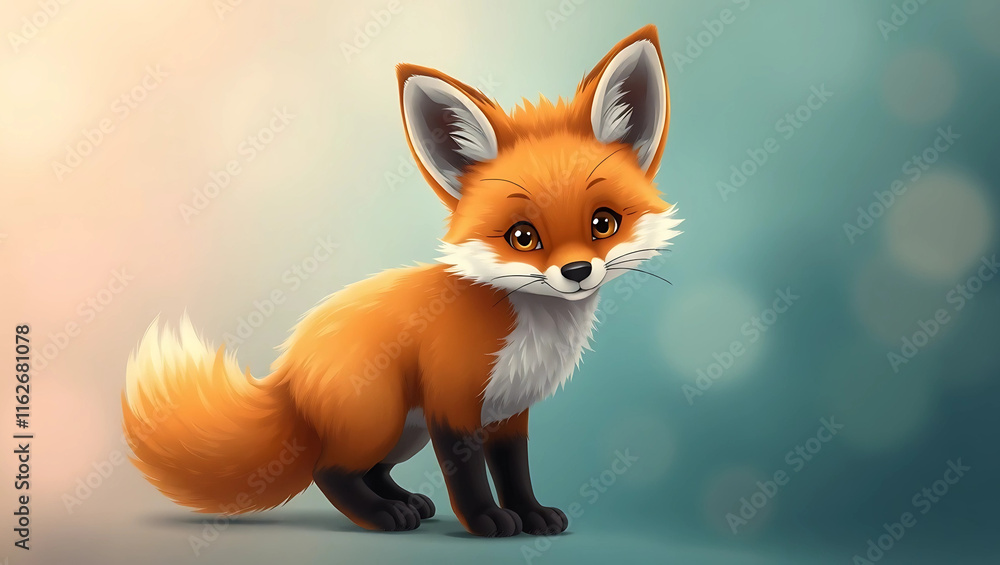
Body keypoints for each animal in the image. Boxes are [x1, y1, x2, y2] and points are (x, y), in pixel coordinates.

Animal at [122, 24, 681, 537]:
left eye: (603, 224)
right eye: (523, 237)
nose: (576, 272)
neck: (529, 323)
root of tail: (289, 372)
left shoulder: (509, 410)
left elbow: (515, 471)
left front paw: (532, 514)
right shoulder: (453, 402)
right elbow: (468, 477)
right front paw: (486, 521)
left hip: (404, 434)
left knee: (370, 470)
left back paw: (405, 501)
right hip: (383, 416)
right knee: (329, 470)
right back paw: (381, 515)